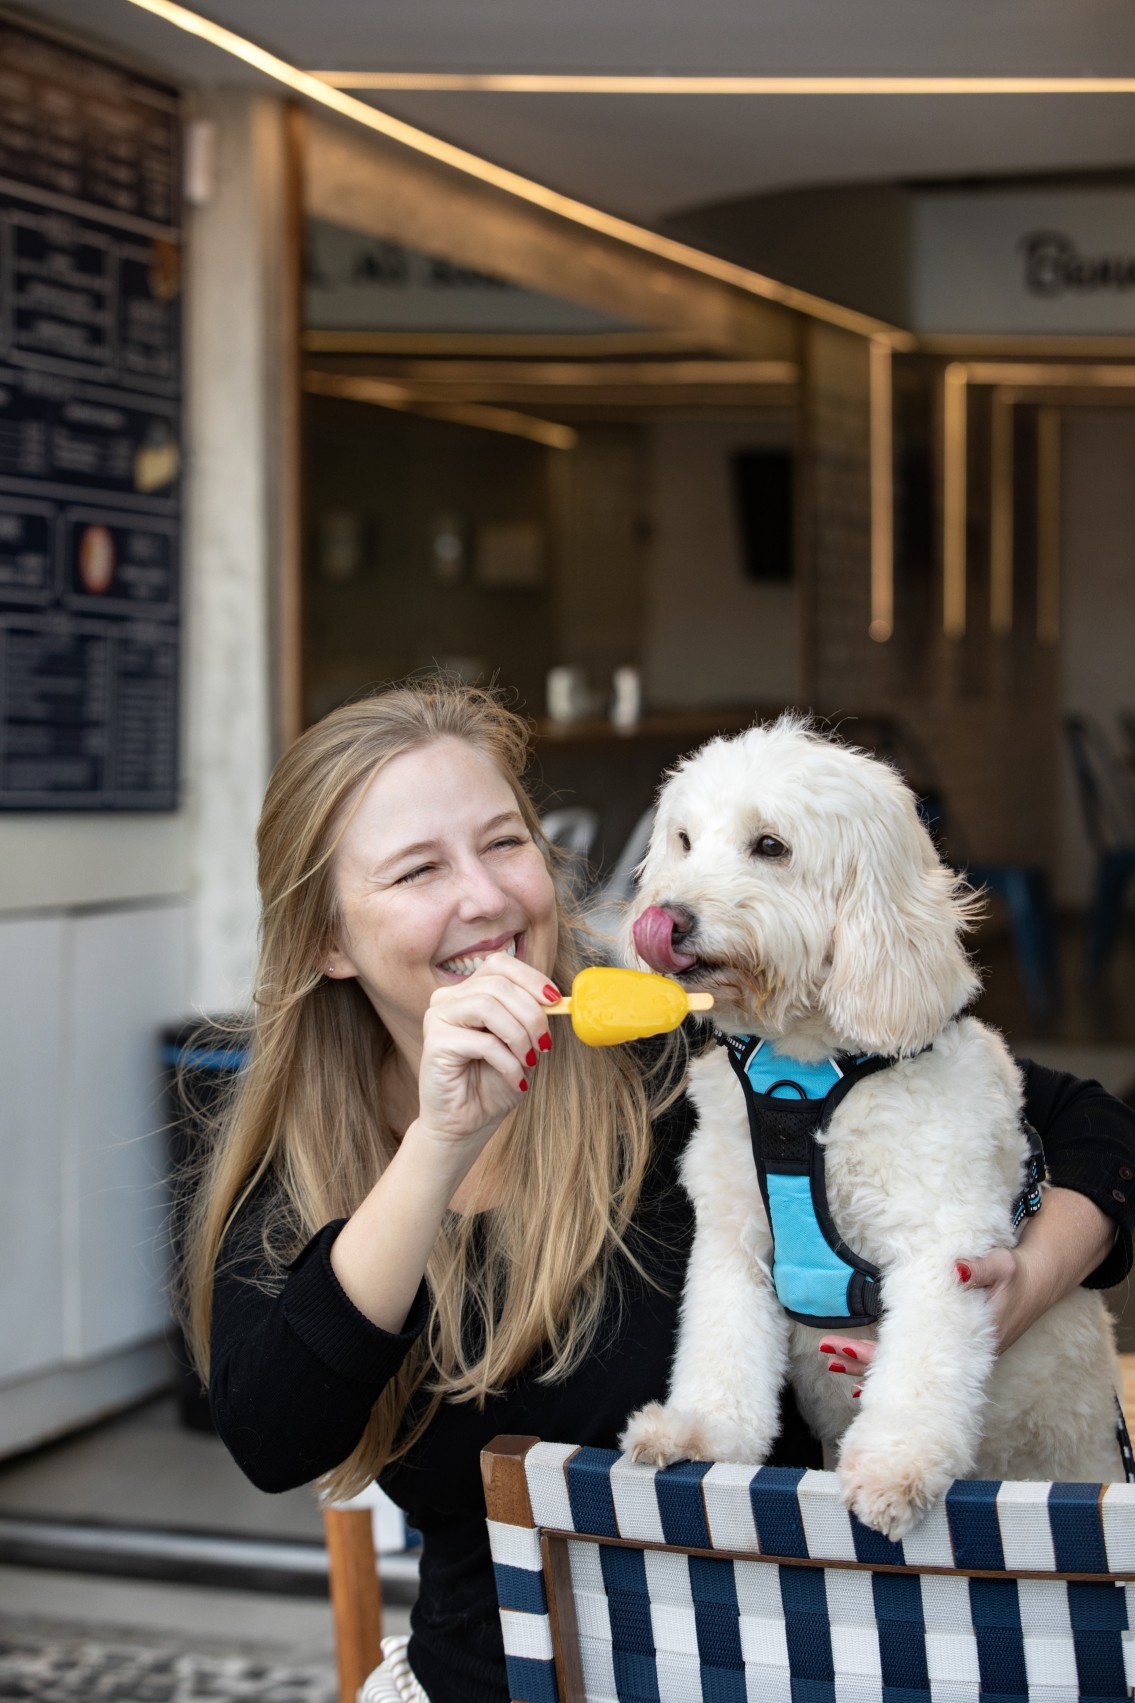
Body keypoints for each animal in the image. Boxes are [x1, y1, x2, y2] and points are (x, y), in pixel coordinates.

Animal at [623, 711, 1117, 1539]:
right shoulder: (732, 1239)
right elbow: (721, 1344)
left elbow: (920, 1371)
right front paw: (703, 1430)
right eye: (685, 840)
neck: (806, 1072)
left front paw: (896, 1465)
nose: (664, 920)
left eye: (769, 845)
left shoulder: (941, 1249)